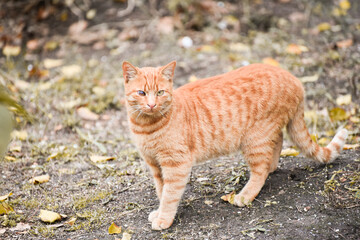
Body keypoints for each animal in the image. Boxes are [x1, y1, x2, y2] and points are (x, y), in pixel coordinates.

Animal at [122, 61, 348, 231]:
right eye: (141, 93)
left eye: (160, 92)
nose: (152, 104)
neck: (146, 127)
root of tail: (294, 79)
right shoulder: (155, 166)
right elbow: (161, 191)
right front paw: (159, 213)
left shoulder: (176, 165)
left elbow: (169, 195)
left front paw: (164, 218)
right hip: (266, 134)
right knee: (277, 143)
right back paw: (272, 166)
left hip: (255, 139)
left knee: (260, 170)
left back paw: (244, 195)